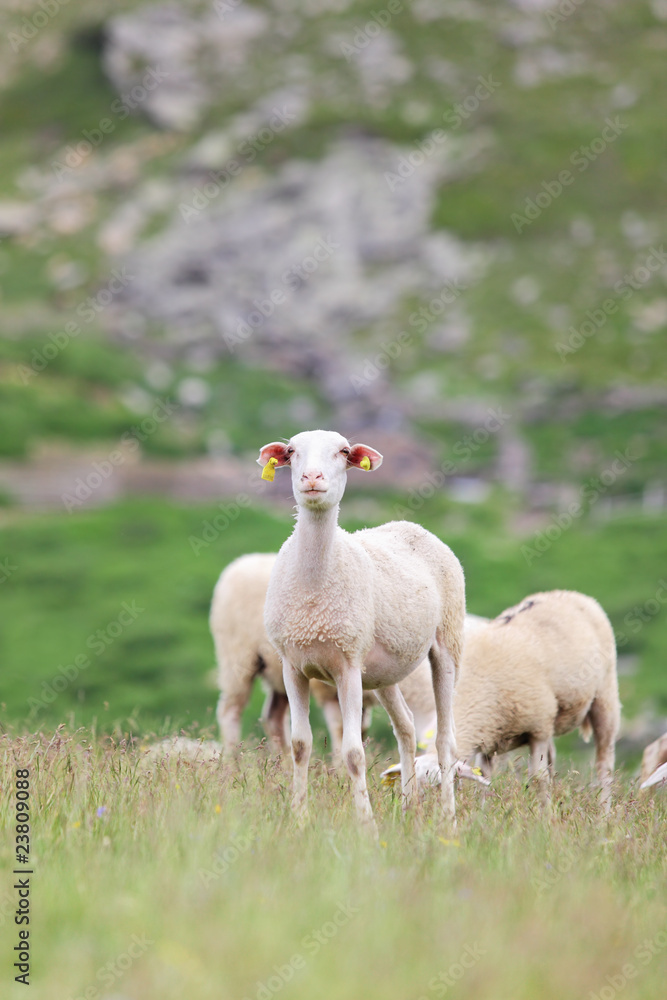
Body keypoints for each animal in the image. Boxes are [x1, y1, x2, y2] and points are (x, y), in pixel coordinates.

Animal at [210, 552, 374, 759]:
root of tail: (239, 562)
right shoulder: (327, 685)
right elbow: (340, 727)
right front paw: (339, 765)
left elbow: (361, 728)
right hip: (238, 658)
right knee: (230, 710)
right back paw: (233, 761)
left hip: (278, 670)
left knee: (273, 715)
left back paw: (284, 761)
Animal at [258, 429, 466, 831]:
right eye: (291, 451)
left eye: (342, 452)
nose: (312, 478)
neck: (314, 586)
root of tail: (410, 526)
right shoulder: (292, 665)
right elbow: (300, 745)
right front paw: (299, 818)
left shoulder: (348, 666)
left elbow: (354, 753)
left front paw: (365, 826)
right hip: (384, 671)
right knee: (406, 727)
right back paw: (410, 810)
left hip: (448, 641)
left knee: (445, 742)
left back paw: (448, 821)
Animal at [383, 591, 620, 809]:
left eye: (444, 785)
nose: (422, 813)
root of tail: (571, 594)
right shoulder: (488, 741)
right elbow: (484, 780)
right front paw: (481, 815)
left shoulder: (539, 729)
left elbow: (538, 778)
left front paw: (545, 816)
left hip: (605, 694)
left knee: (604, 763)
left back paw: (604, 812)